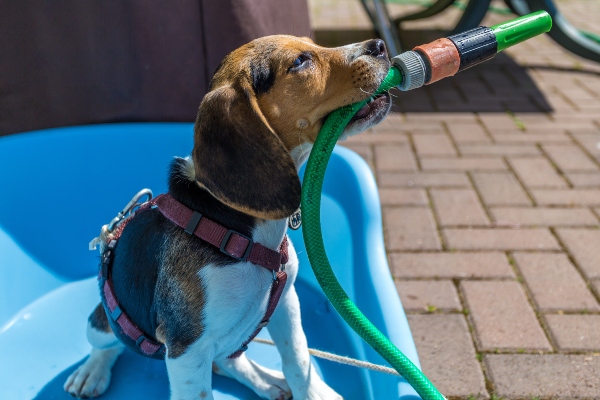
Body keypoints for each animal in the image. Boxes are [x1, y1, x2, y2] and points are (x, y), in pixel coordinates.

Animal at [63, 35, 392, 400]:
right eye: (300, 62)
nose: (379, 46)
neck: (241, 233)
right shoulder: (186, 349)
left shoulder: (287, 303)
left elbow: (297, 358)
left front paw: (312, 392)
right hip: (101, 323)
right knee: (108, 343)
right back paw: (91, 372)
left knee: (227, 360)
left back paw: (267, 381)